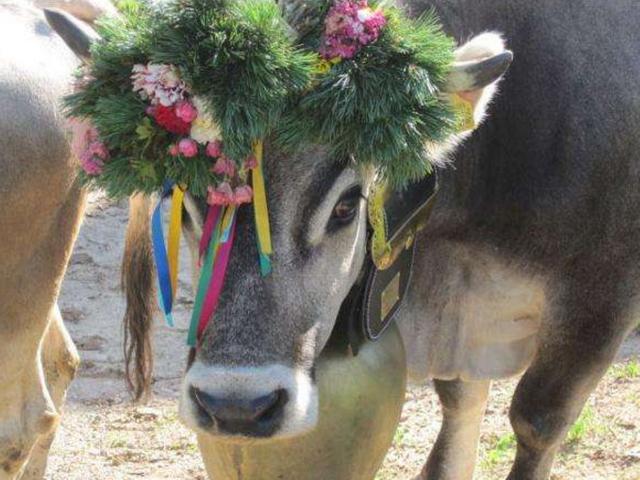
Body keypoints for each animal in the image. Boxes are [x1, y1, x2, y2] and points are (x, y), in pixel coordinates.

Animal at [45, 0, 640, 480]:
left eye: (348, 205)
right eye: (183, 195)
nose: (236, 406)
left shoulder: (599, 301)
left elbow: (537, 420)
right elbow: (457, 410)